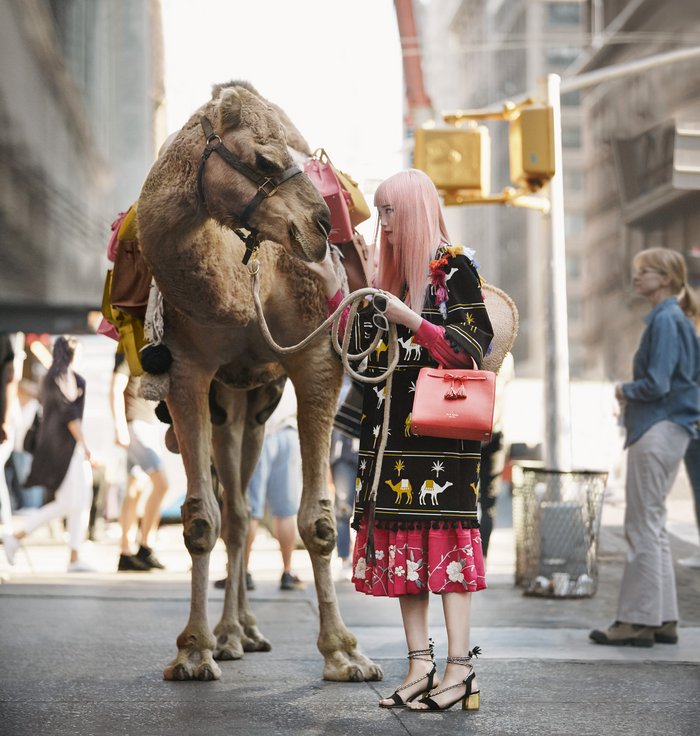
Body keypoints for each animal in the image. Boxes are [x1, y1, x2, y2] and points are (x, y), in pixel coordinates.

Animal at [137, 82, 382, 684]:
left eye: (299, 153)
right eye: (263, 160)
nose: (322, 225)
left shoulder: (316, 358)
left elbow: (319, 521)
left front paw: (345, 653)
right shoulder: (187, 369)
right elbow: (201, 519)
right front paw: (194, 652)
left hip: (259, 400)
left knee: (246, 510)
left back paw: (244, 631)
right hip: (230, 398)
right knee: (238, 515)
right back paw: (230, 636)